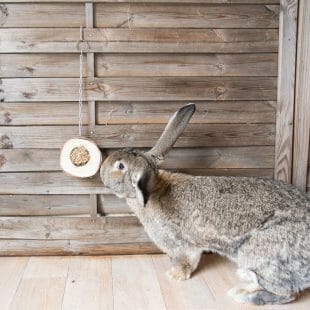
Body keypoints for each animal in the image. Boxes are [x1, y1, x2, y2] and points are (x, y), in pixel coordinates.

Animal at [100, 103, 308, 306]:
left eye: (120, 166)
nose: (102, 167)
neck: (155, 190)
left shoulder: (179, 244)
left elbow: (186, 262)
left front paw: (174, 276)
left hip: (261, 256)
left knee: (286, 293)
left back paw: (242, 294)